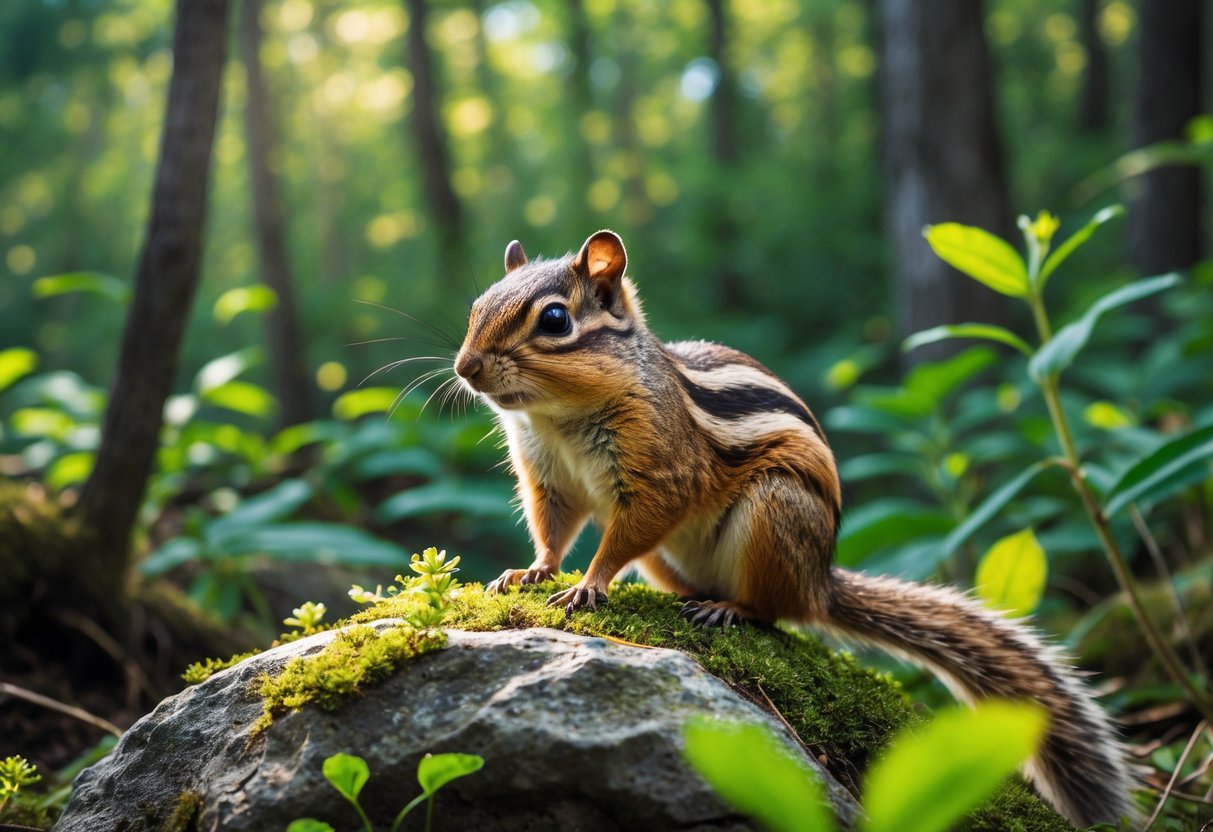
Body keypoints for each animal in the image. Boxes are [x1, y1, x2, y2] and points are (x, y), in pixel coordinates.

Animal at [452, 229, 1133, 826]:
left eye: (555, 321)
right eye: (476, 306)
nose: (466, 368)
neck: (559, 417)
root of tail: (819, 581)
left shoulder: (663, 471)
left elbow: (630, 528)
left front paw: (588, 584)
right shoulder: (550, 476)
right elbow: (552, 527)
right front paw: (531, 571)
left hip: (776, 513)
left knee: (775, 610)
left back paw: (729, 608)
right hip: (671, 558)